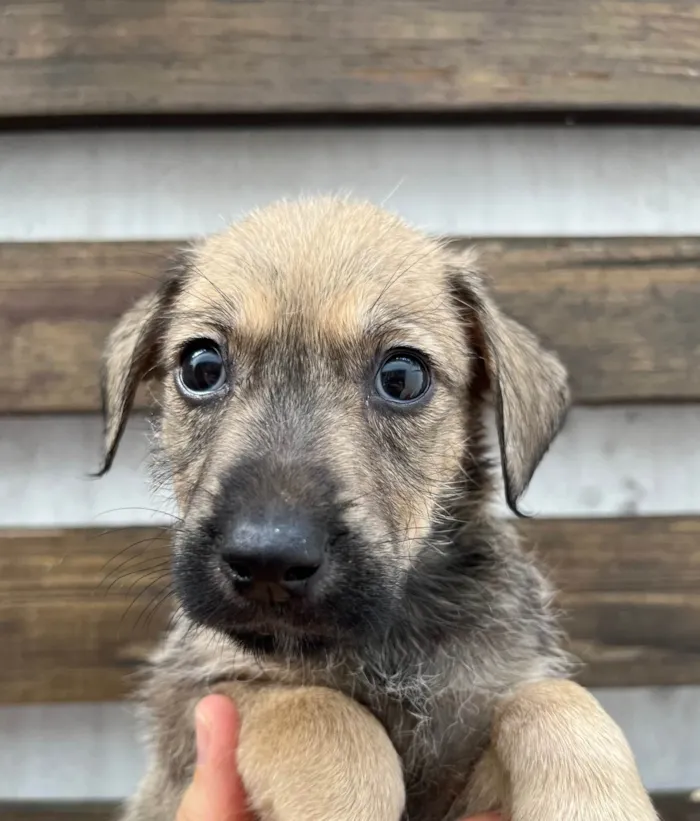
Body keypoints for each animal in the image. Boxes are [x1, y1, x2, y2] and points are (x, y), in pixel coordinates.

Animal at [100, 200, 656, 820]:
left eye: (402, 376)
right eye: (201, 367)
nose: (268, 560)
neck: (387, 639)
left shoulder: (483, 726)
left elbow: (557, 701)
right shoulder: (200, 696)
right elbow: (324, 718)